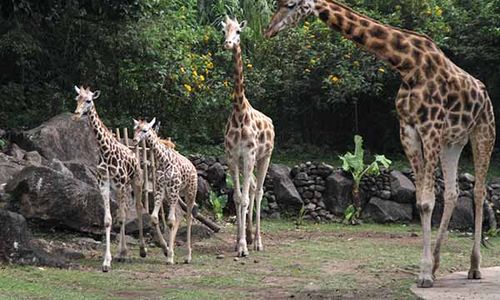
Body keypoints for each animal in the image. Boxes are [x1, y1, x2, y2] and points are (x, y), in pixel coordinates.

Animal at [72, 85, 147, 274]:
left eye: (89, 100)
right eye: (77, 98)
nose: (76, 114)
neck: (105, 151)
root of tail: (134, 154)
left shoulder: (120, 183)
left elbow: (121, 216)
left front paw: (120, 254)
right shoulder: (104, 183)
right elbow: (108, 220)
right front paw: (107, 261)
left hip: (135, 182)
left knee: (137, 208)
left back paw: (141, 250)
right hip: (122, 187)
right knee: (125, 211)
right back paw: (122, 253)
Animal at [133, 118, 197, 264]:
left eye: (144, 130)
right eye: (135, 129)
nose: (134, 140)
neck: (163, 160)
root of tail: (193, 167)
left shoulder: (173, 187)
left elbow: (170, 221)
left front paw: (170, 258)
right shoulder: (160, 188)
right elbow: (155, 218)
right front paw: (167, 251)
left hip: (190, 192)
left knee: (189, 216)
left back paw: (188, 256)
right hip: (171, 195)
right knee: (179, 214)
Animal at [266, 0, 496, 288]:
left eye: (291, 5)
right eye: (276, 4)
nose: (269, 30)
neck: (407, 65)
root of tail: (484, 93)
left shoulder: (429, 128)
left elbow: (428, 201)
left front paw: (424, 274)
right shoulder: (408, 130)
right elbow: (421, 200)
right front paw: (427, 270)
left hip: (483, 132)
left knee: (478, 191)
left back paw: (474, 267)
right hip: (452, 141)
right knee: (454, 191)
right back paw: (438, 264)